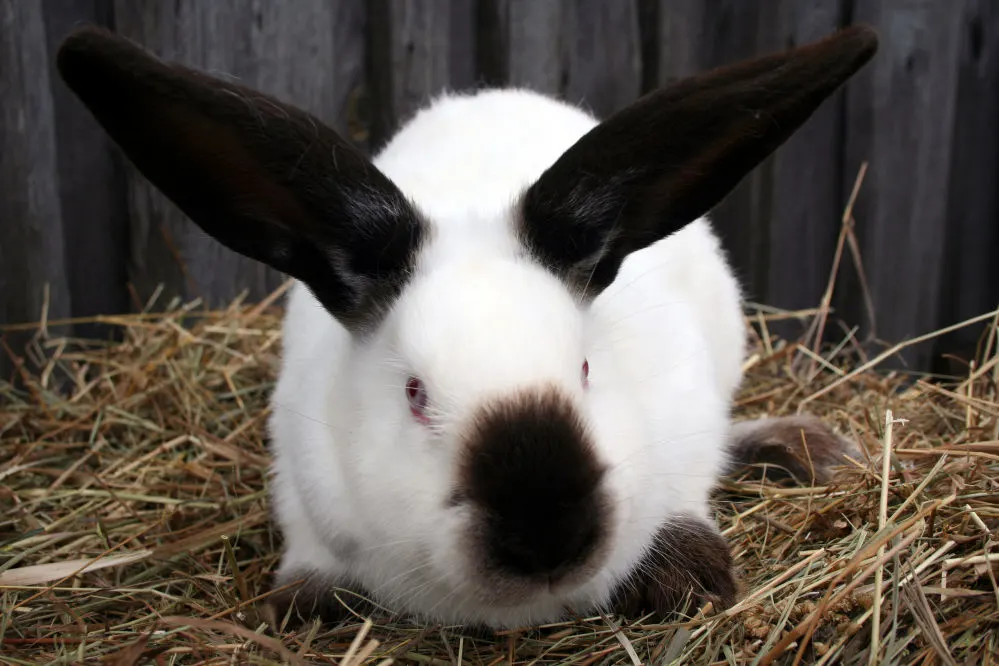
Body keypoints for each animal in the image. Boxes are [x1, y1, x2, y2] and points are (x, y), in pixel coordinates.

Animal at [58, 24, 880, 628]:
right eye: (415, 395)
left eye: (586, 371)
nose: (545, 533)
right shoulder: (299, 473)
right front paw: (305, 603)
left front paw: (689, 572)